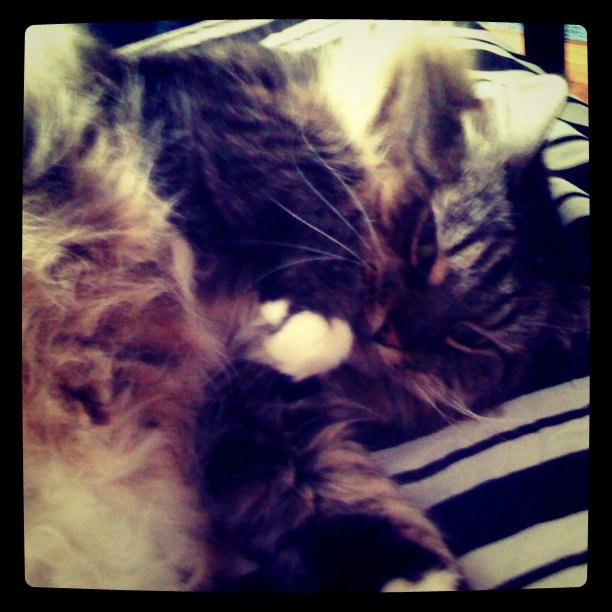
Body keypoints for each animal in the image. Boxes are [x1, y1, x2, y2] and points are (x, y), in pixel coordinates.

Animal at [22, 21, 589, 591]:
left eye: (469, 337)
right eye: (425, 243)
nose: (391, 332)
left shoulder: (254, 409)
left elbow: (331, 501)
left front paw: (420, 580)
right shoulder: (217, 121)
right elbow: (323, 198)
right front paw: (314, 331)